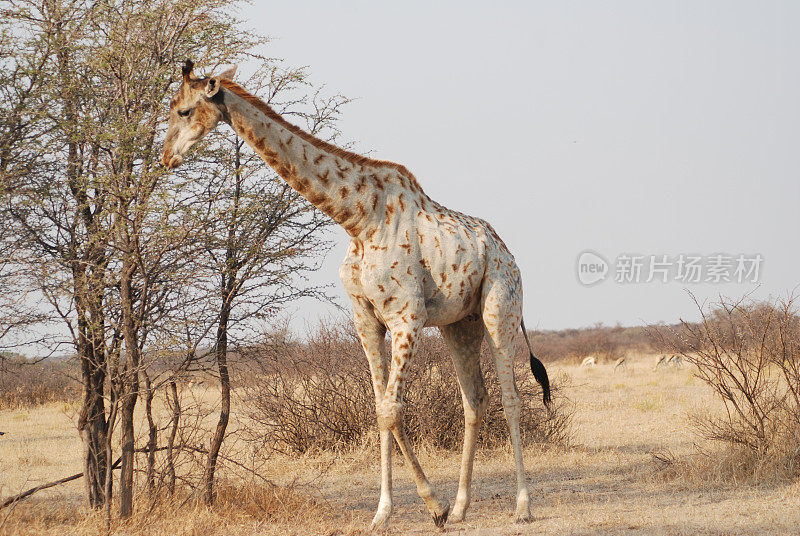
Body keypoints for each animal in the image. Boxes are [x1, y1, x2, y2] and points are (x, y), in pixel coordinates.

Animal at [162, 60, 552, 528]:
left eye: (183, 111)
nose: (165, 158)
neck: (358, 219)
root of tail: (507, 254)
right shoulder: (367, 318)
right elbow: (380, 407)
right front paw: (397, 511)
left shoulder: (407, 316)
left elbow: (389, 409)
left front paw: (421, 507)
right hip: (461, 325)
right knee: (474, 399)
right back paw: (461, 507)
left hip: (500, 310)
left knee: (511, 399)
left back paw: (522, 506)